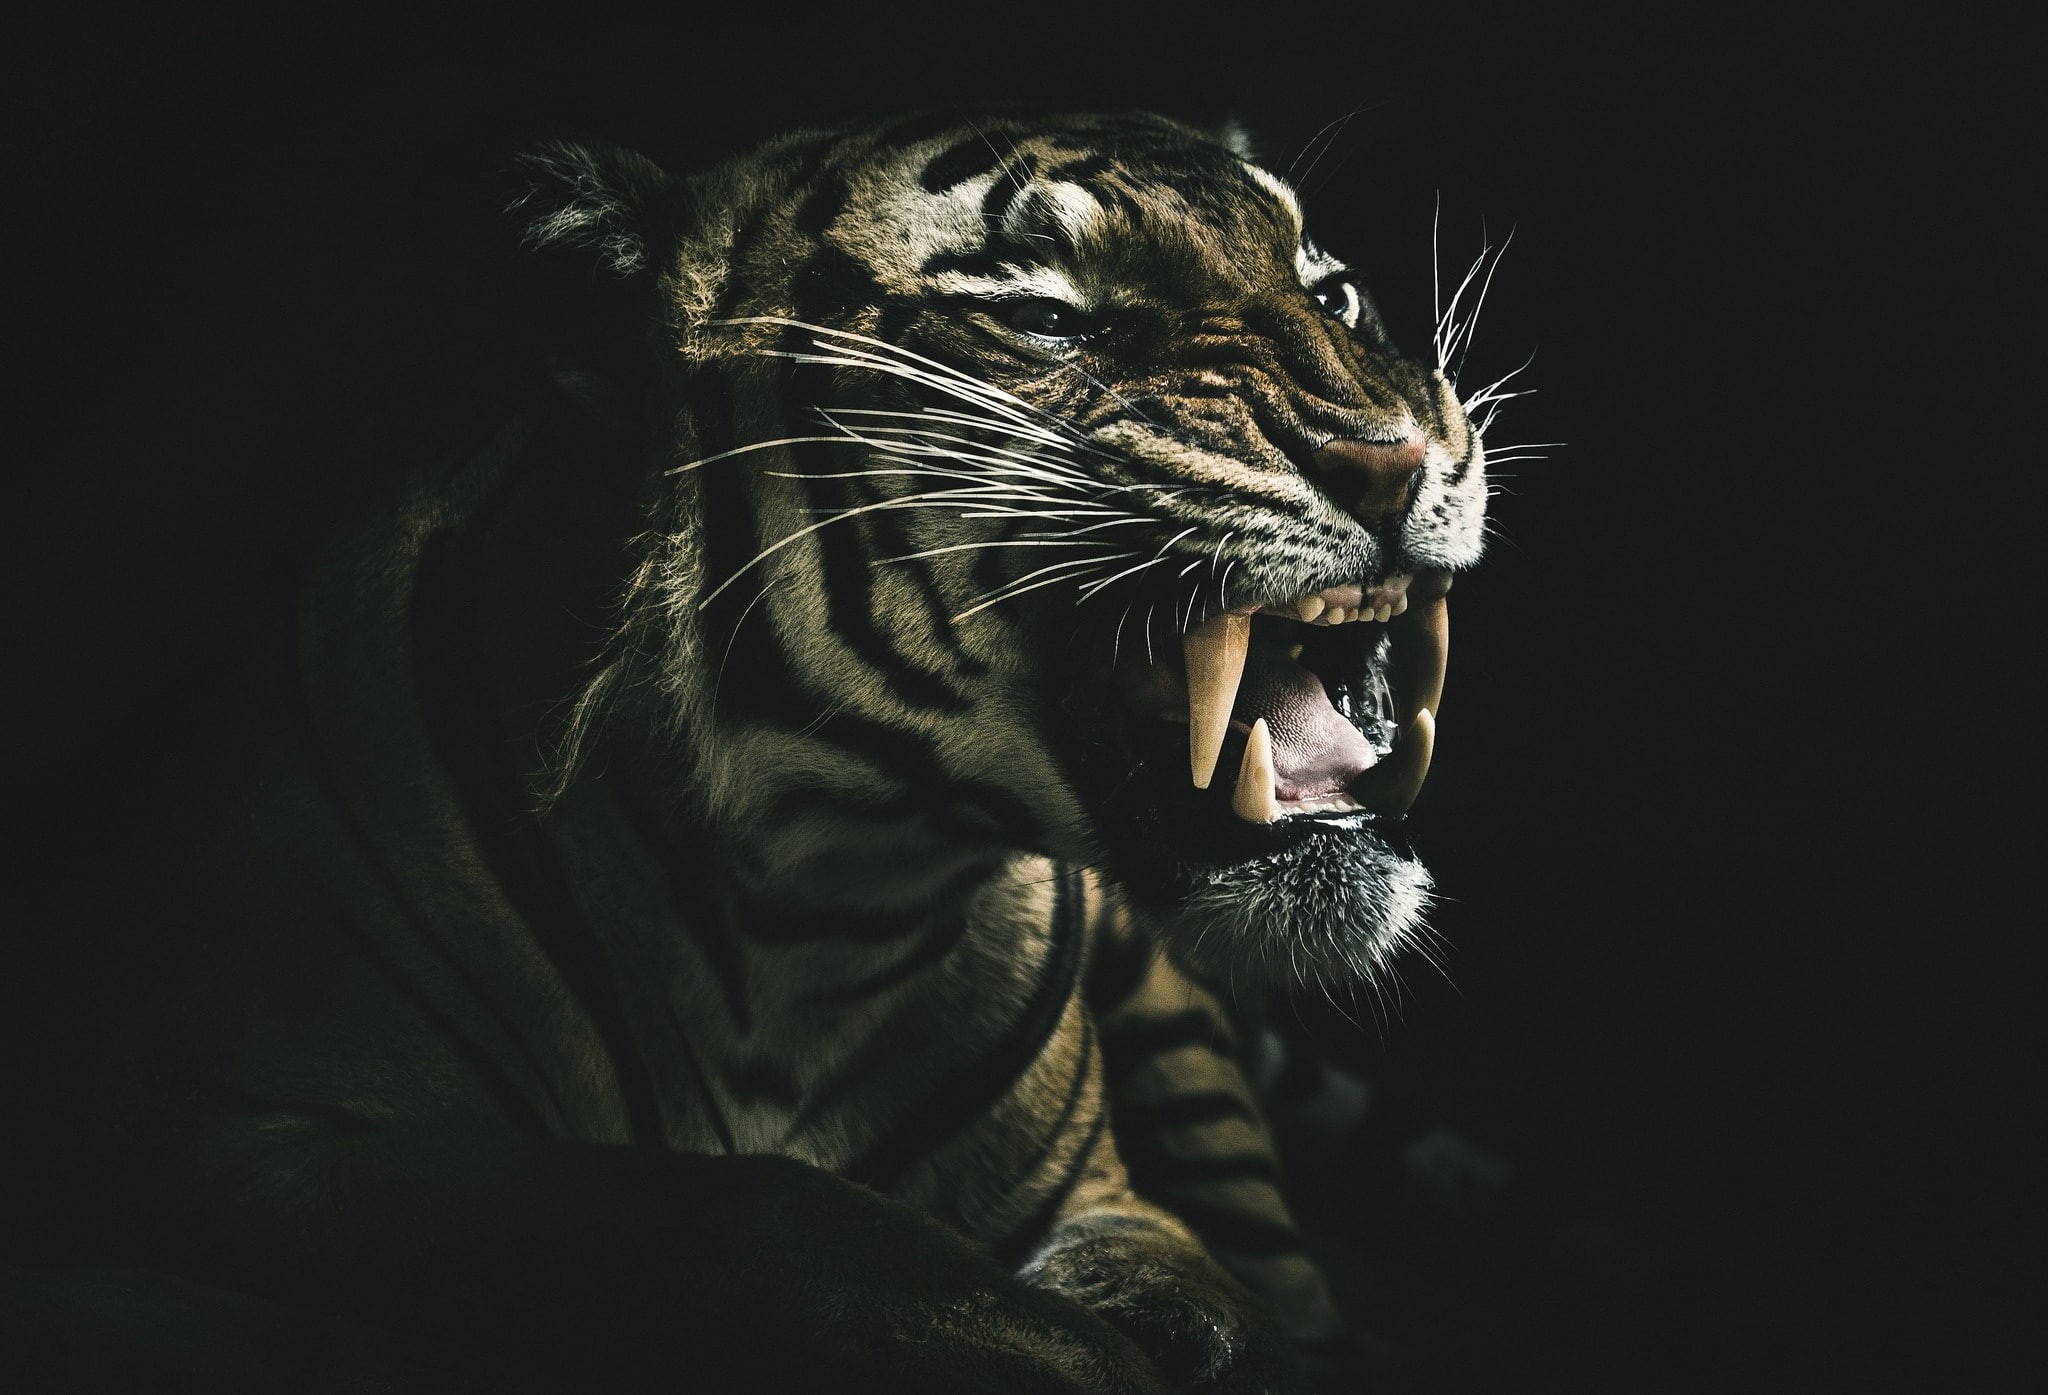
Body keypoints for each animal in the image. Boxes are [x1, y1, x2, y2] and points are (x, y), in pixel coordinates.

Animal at [31, 106, 1490, 1393]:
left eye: (1336, 294)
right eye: (1045, 315)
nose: (1401, 454)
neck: (823, 898)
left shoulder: (1102, 1194)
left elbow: (1222, 1306)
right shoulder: (226, 1133)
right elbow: (734, 1211)